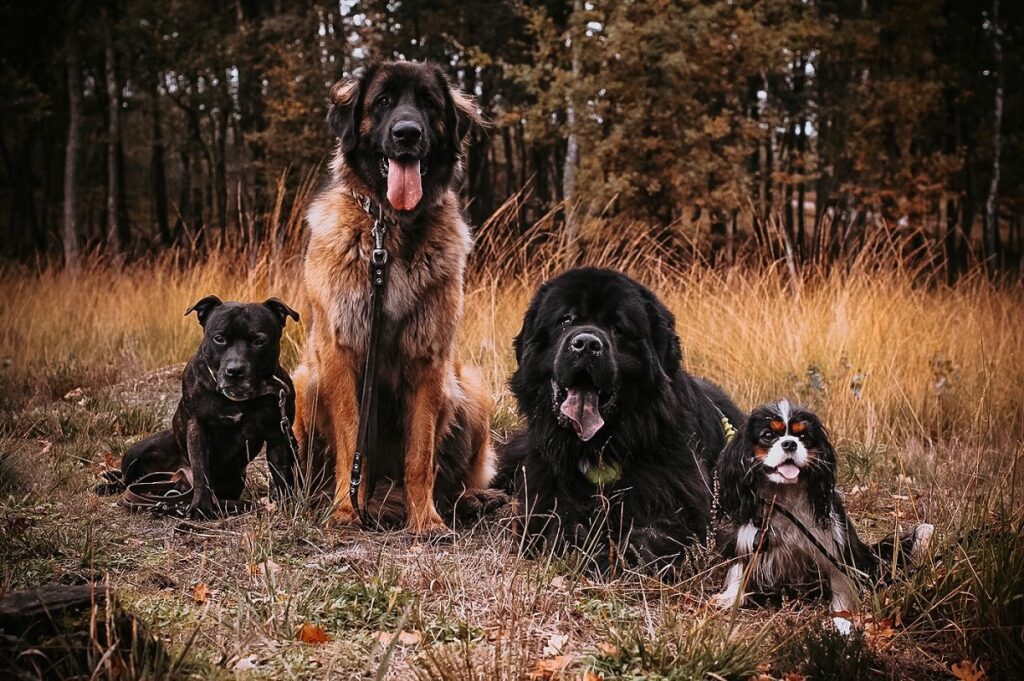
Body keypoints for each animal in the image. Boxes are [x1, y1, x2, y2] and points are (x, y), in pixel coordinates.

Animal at [120, 294, 301, 518]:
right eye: (219, 339)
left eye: (259, 341)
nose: (235, 370)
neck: (236, 400)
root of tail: (177, 477)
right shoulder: (198, 428)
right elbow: (201, 470)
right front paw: (201, 506)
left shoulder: (278, 436)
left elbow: (283, 474)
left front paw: (289, 505)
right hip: (138, 452)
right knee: (126, 480)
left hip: (235, 480)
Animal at [290, 59, 497, 536]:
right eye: (382, 101)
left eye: (429, 103)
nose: (407, 134)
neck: (390, 230)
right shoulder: (342, 353)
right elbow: (352, 442)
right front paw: (347, 510)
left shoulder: (428, 362)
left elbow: (420, 455)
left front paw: (426, 521)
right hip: (303, 383)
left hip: (472, 388)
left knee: (458, 477)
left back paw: (474, 500)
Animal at [495, 268, 745, 569]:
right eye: (566, 320)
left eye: (618, 328)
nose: (586, 344)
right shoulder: (542, 497)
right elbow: (560, 524)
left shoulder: (677, 504)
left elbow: (650, 536)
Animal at [716, 401, 933, 630]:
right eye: (768, 435)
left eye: (803, 437)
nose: (790, 444)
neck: (784, 496)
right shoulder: (750, 537)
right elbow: (739, 568)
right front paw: (730, 596)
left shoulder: (831, 546)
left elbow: (840, 581)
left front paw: (843, 615)